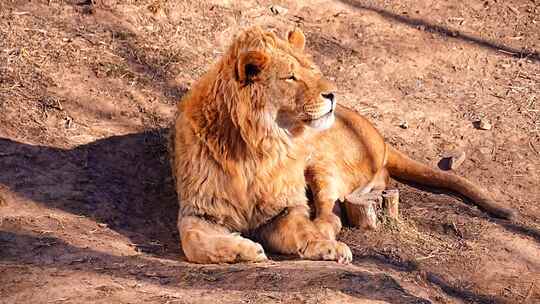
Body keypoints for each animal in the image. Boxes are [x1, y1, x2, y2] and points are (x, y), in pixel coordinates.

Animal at [171, 26, 516, 264]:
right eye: (291, 77)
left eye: (313, 70)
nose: (332, 94)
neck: (257, 146)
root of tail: (380, 138)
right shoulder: (200, 211)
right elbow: (193, 243)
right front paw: (244, 250)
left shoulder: (286, 208)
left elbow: (303, 228)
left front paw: (325, 247)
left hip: (322, 162)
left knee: (332, 213)